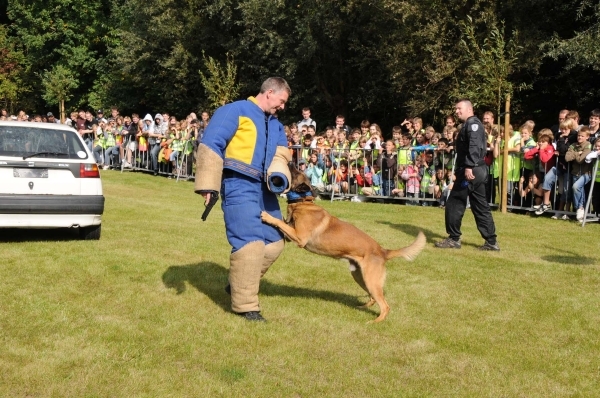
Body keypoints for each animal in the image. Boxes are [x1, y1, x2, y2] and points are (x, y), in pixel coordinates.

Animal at [262, 165, 426, 324]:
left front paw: (267, 216)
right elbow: (283, 223)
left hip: (370, 280)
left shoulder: (299, 238)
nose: (291, 162)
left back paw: (375, 322)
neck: (303, 202)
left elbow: (279, 222)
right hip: (361, 277)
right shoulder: (292, 234)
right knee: (373, 298)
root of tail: (383, 251)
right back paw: (362, 307)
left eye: (295, 173)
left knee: (385, 306)